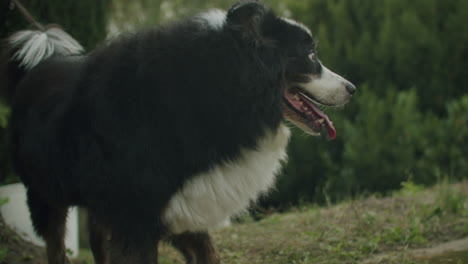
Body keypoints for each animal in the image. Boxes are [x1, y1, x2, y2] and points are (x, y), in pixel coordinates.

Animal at [0, 1, 354, 262]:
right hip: (46, 193)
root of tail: (37, 66)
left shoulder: (185, 205)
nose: (351, 88)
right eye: (310, 56)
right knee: (55, 246)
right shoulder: (136, 216)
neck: (222, 85)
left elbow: (209, 255)